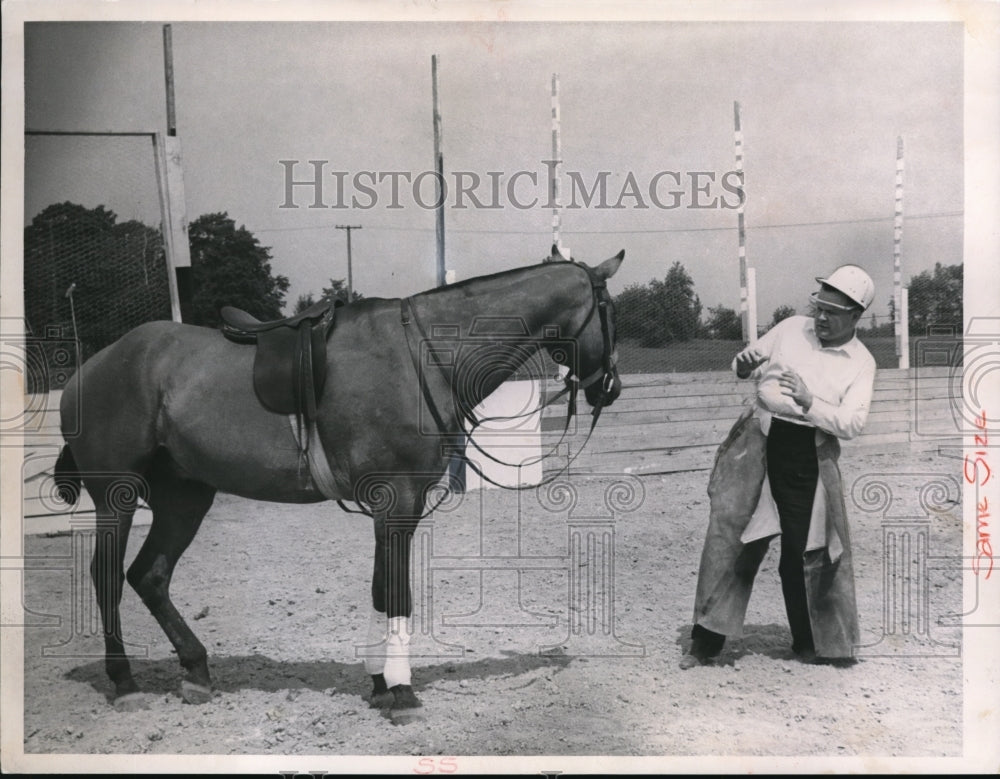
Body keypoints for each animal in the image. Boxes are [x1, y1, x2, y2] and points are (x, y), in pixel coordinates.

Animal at [54, 245, 620, 724]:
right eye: (611, 311)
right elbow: (398, 593)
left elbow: (379, 589)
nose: (611, 388)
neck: (425, 353)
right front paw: (402, 689)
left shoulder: (393, 507)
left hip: (184, 497)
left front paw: (379, 681)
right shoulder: (398, 501)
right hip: (116, 497)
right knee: (107, 577)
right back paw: (124, 681)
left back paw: (195, 669)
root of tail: (90, 368)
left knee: (150, 576)